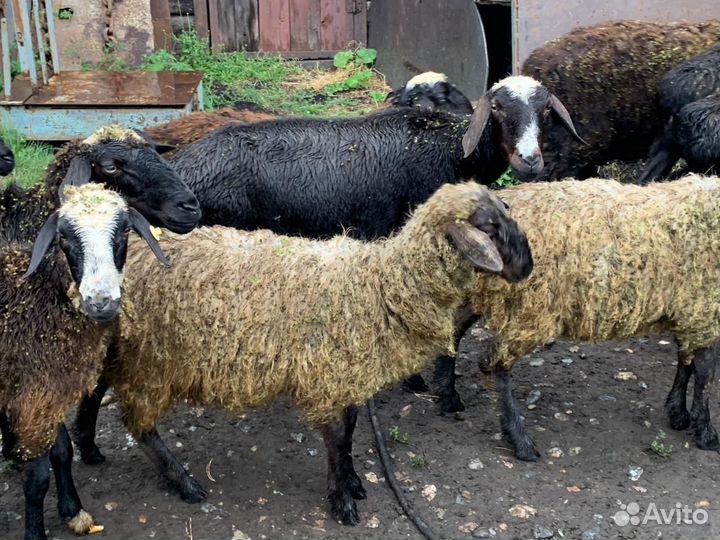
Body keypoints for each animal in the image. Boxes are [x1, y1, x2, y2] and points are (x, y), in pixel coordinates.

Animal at [0, 182, 168, 540]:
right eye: (64, 237)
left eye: (124, 232)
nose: (101, 302)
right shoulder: (36, 397)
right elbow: (38, 478)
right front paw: (35, 532)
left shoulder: (48, 392)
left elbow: (63, 451)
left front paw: (73, 510)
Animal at [79, 181, 532, 525]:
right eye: (489, 227)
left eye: (504, 213)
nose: (528, 267)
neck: (378, 287)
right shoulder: (325, 377)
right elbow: (335, 441)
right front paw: (342, 501)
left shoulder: (346, 378)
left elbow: (349, 434)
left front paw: (354, 483)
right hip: (149, 361)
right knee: (138, 425)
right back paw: (184, 482)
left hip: (118, 351)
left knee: (91, 395)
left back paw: (89, 450)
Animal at [437, 174, 720, 462]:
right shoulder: (704, 309)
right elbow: (705, 373)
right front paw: (706, 433)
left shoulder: (691, 311)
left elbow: (686, 362)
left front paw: (678, 413)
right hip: (531, 309)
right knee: (493, 363)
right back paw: (519, 440)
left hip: (483, 290)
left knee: (453, 329)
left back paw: (448, 396)